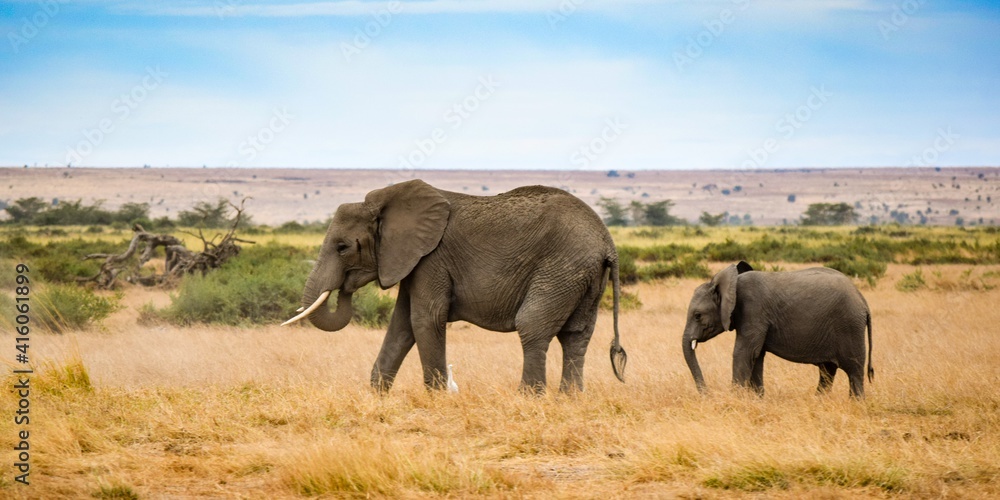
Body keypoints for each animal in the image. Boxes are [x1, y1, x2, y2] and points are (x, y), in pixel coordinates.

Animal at [282, 179, 627, 394]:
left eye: (342, 247)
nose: (345, 288)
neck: (385, 203)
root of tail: (607, 243)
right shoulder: (413, 261)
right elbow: (402, 324)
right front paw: (377, 394)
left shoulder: (432, 258)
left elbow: (424, 319)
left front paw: (435, 397)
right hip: (584, 277)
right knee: (576, 336)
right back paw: (570, 397)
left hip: (562, 267)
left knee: (532, 326)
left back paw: (529, 397)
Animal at [682, 261, 873, 398]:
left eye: (697, 315)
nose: (708, 395)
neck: (732, 283)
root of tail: (863, 301)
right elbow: (756, 356)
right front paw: (757, 400)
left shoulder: (753, 310)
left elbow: (744, 353)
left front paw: (735, 400)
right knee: (827, 371)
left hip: (850, 327)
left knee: (854, 372)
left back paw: (855, 404)